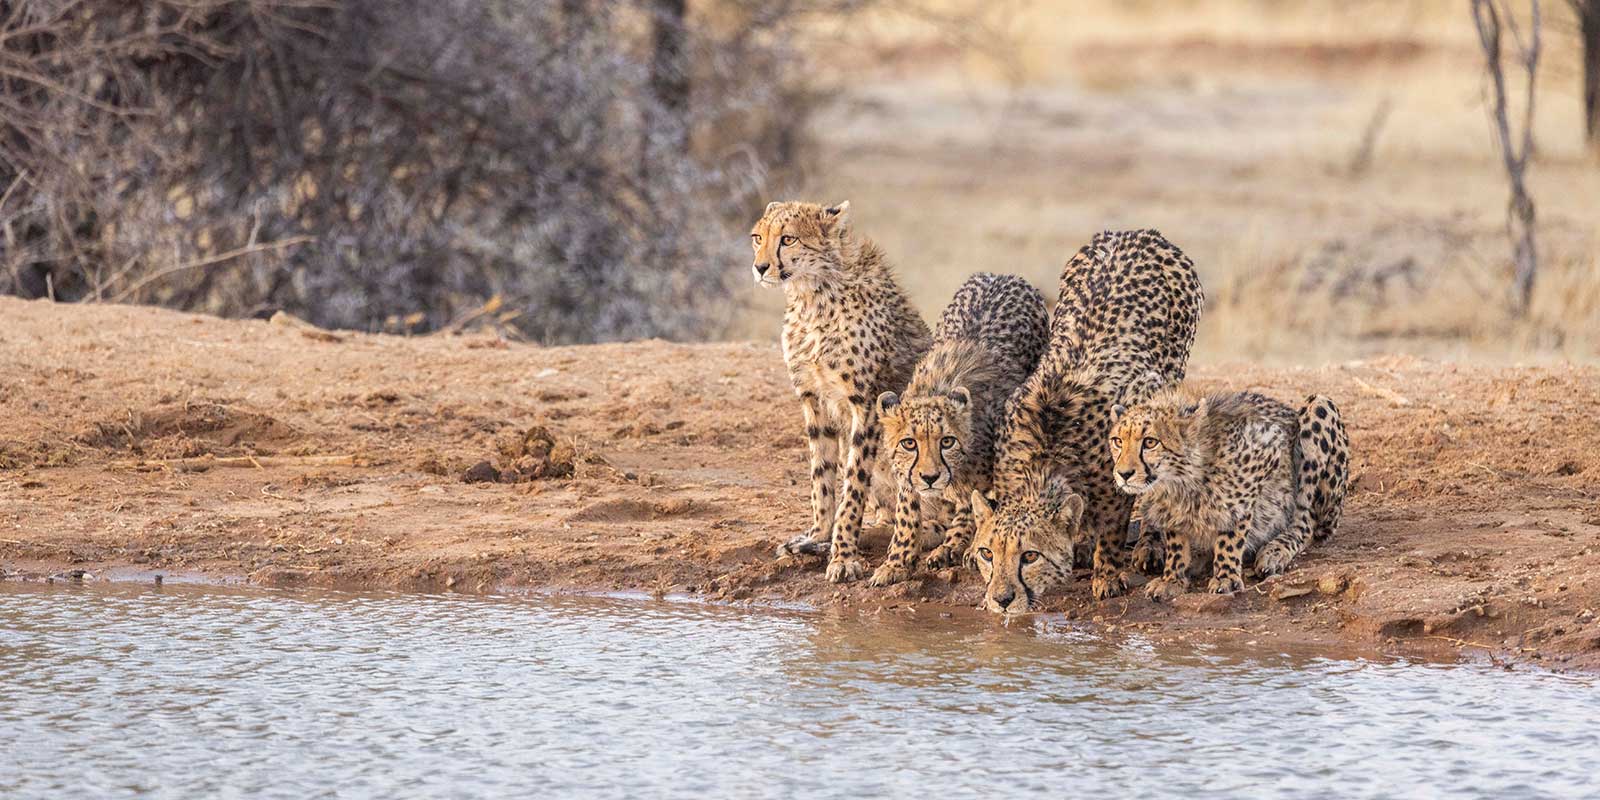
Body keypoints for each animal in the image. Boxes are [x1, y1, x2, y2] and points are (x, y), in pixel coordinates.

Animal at [751, 200, 932, 583]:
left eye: (788, 239)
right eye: (758, 237)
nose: (760, 267)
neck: (813, 295)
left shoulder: (866, 405)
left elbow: (852, 485)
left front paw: (843, 555)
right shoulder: (813, 399)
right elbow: (821, 477)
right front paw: (819, 534)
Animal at [868, 272, 1048, 587]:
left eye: (947, 442)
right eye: (909, 443)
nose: (930, 477)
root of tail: (1001, 275)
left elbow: (980, 507)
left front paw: (971, 545)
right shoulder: (906, 475)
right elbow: (906, 515)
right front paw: (897, 563)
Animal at [970, 229, 1204, 613]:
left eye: (1029, 556)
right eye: (987, 553)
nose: (1001, 599)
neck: (1046, 457)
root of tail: (1137, 231)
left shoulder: (1119, 479)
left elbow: (1112, 530)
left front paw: (1106, 576)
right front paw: (1080, 541)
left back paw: (1150, 544)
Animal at [1109, 389, 1350, 600]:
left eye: (1150, 442)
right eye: (1117, 441)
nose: (1123, 474)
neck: (1179, 481)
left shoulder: (1265, 452)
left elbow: (1232, 528)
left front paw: (1226, 577)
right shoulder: (1166, 504)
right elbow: (1176, 538)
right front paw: (1172, 579)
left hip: (1319, 407)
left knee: (1305, 522)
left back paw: (1275, 550)